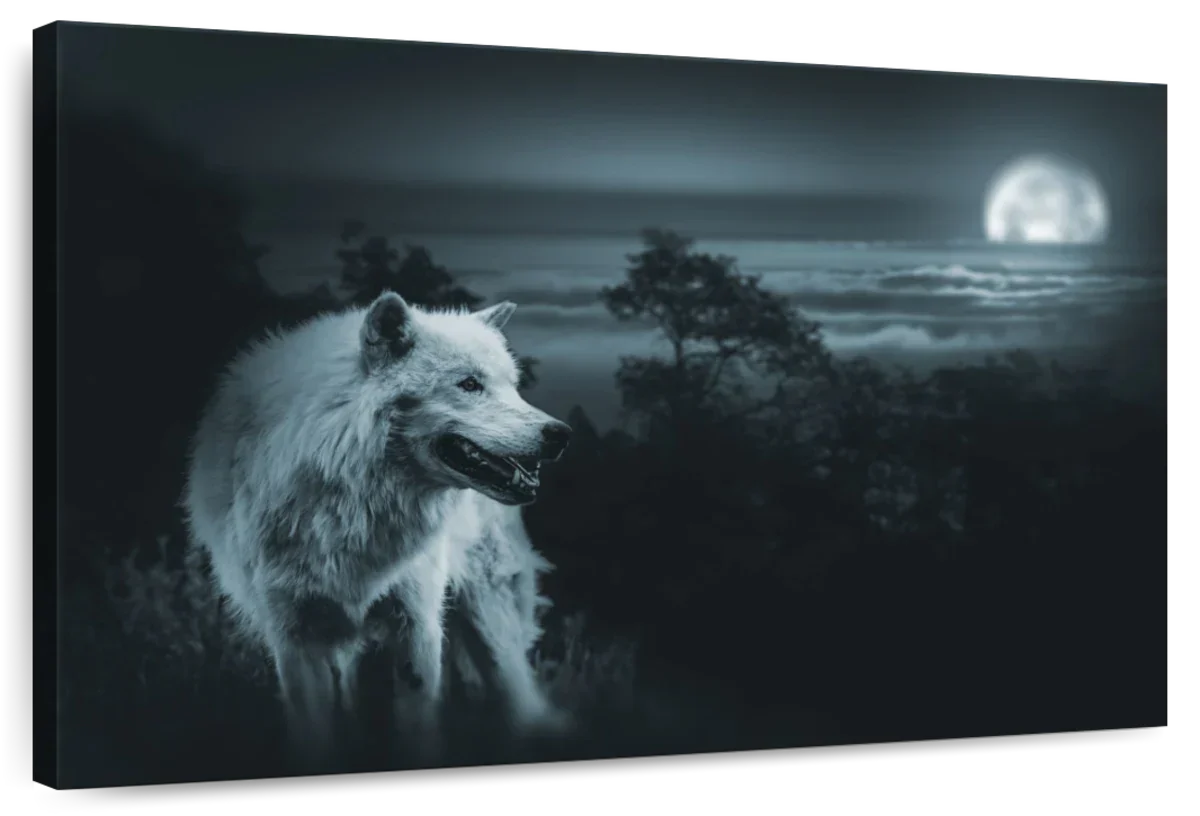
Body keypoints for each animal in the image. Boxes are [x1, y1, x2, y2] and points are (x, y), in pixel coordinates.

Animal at [183, 291, 572, 766]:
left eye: (513, 386)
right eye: (469, 384)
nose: (561, 434)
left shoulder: (417, 629)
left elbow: (419, 734)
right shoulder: (295, 641)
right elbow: (316, 737)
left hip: (489, 621)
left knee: (517, 699)